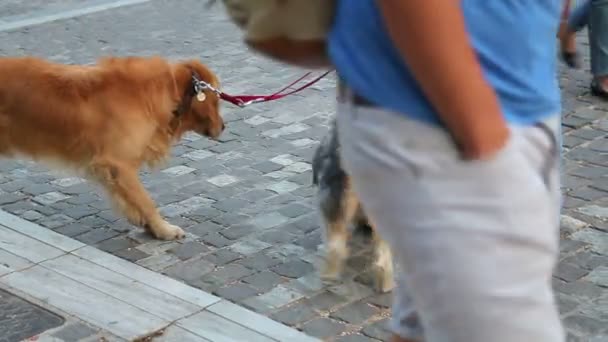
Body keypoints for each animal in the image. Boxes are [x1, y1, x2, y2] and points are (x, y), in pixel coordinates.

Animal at [0, 54, 223, 239]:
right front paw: (163, 229)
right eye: (216, 101)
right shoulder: (119, 164)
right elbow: (145, 201)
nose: (223, 126)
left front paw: (144, 222)